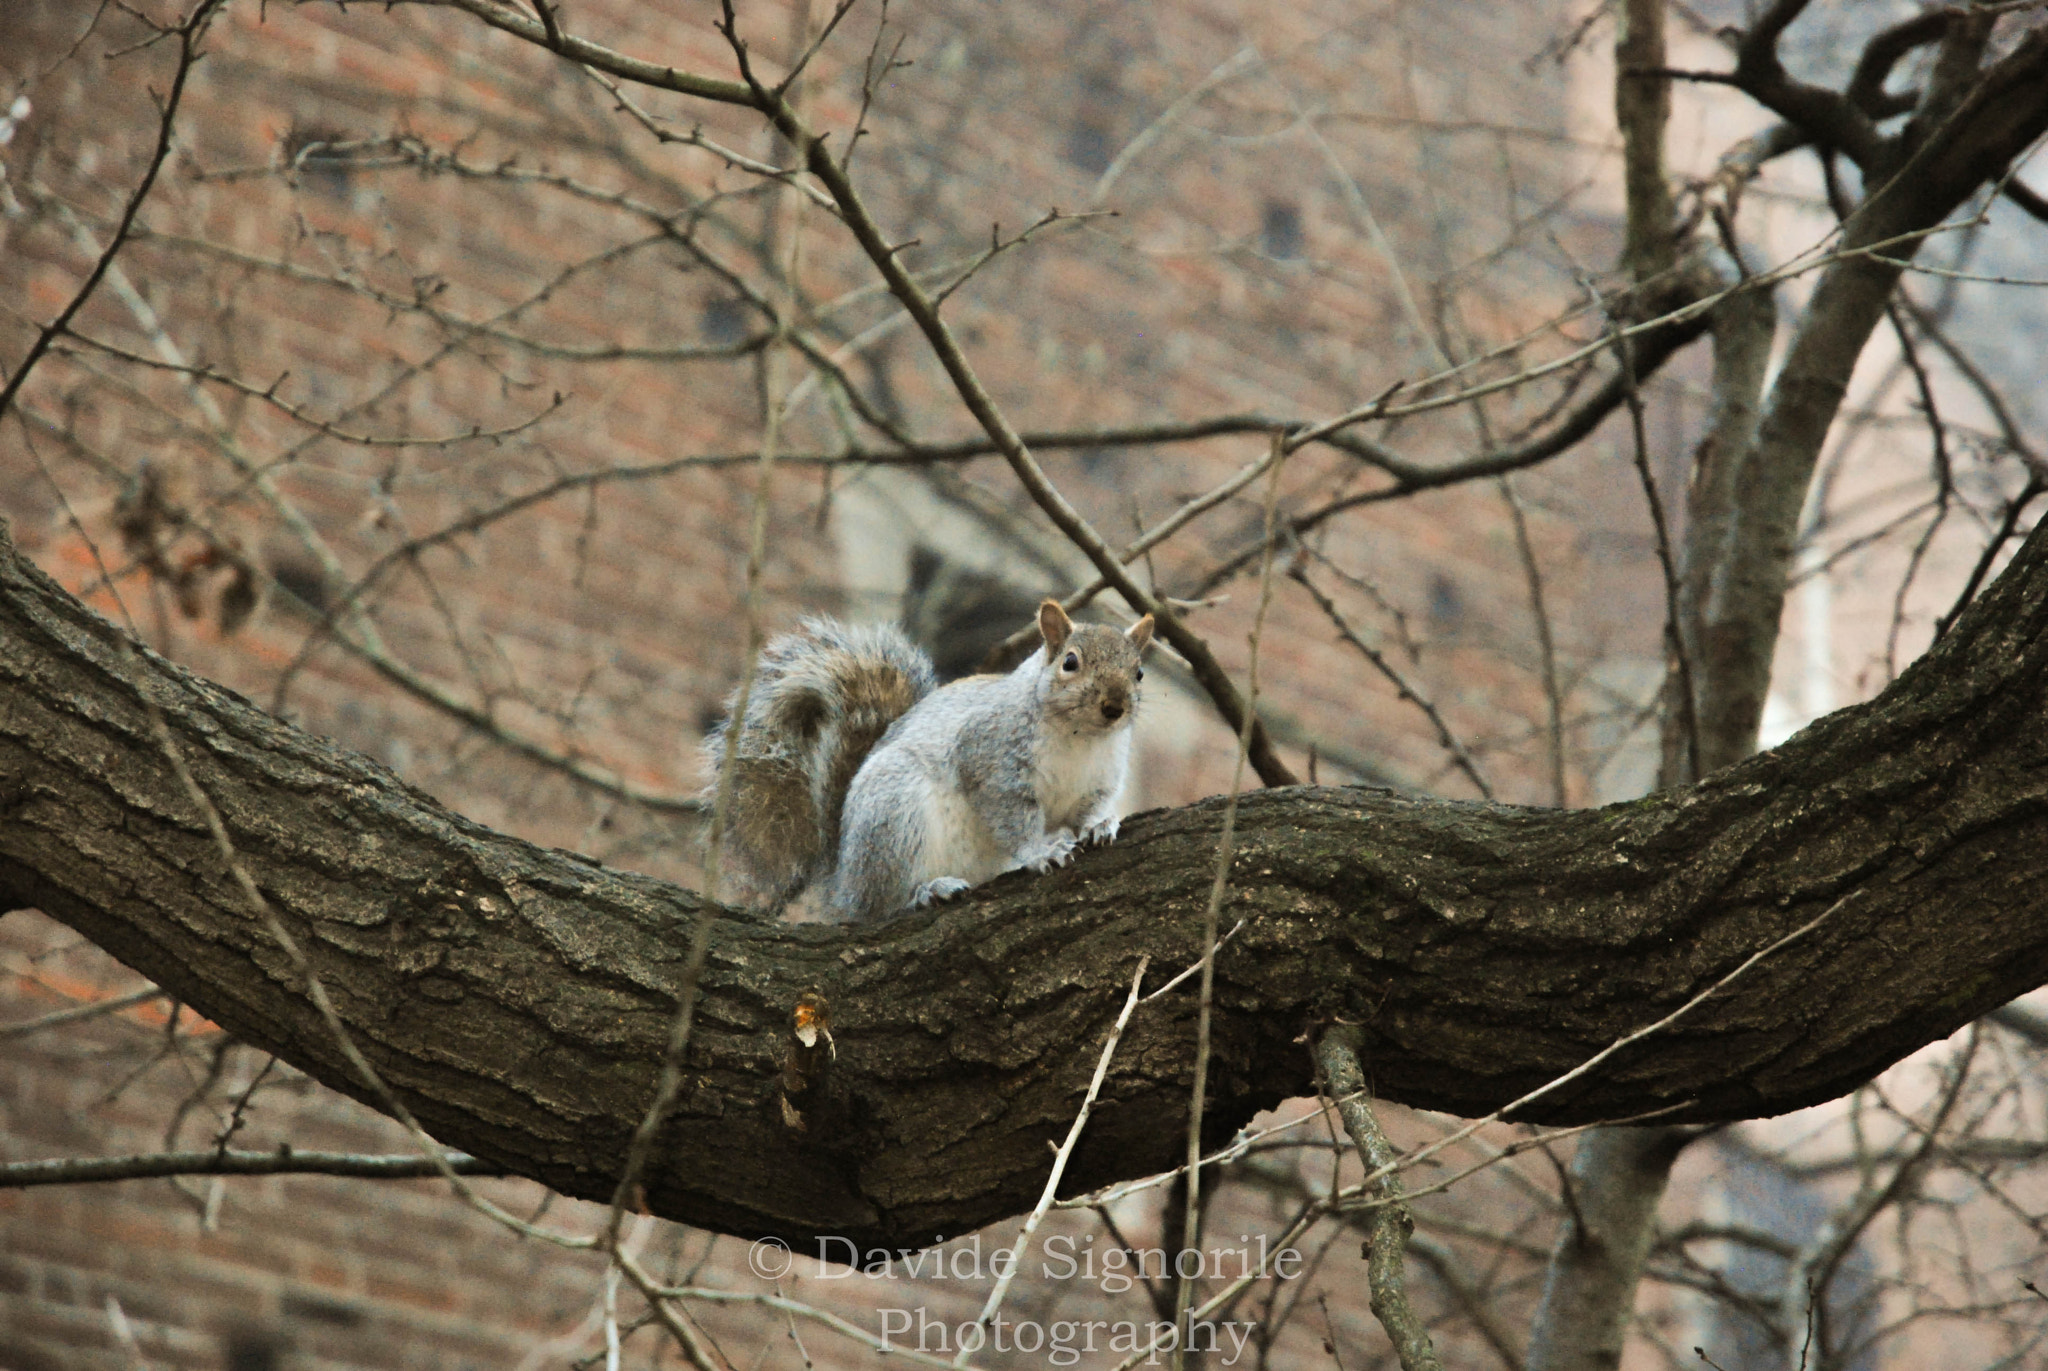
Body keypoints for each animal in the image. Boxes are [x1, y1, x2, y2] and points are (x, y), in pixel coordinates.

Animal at [704, 600, 1154, 921]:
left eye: (1139, 672)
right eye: (1070, 662)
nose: (1114, 706)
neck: (1080, 739)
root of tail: (842, 881)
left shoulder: (1097, 781)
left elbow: (1087, 810)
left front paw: (1100, 825)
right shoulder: (990, 760)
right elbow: (1013, 819)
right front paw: (1040, 852)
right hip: (893, 816)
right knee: (880, 908)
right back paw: (923, 893)